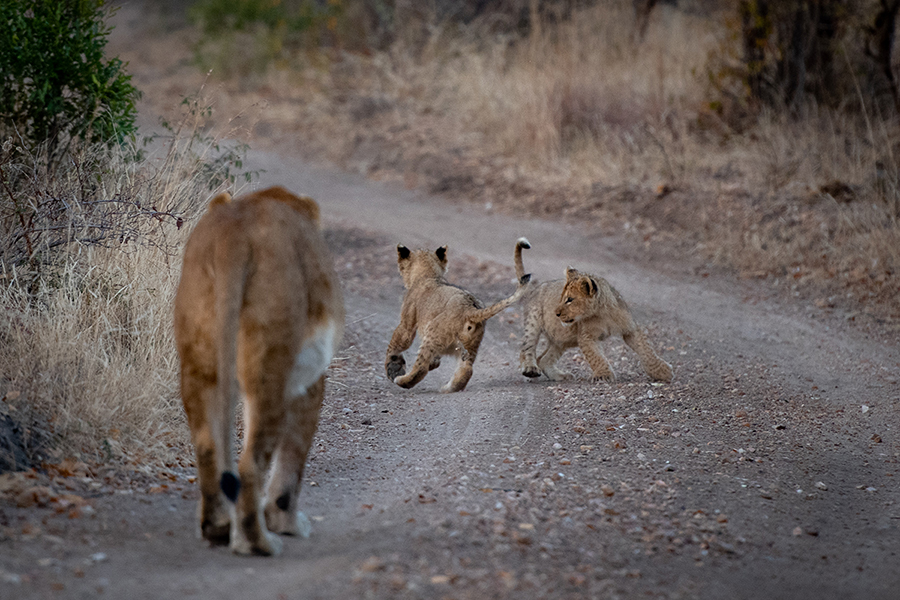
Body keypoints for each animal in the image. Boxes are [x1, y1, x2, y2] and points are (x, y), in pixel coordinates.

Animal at [173, 185, 344, 556]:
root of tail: (233, 234)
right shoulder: (309, 381)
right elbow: (294, 456)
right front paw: (287, 523)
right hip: (271, 370)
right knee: (249, 466)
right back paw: (259, 543)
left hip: (200, 360)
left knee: (208, 446)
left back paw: (219, 529)